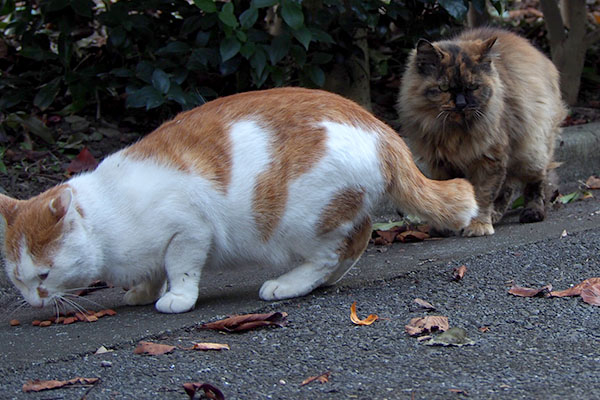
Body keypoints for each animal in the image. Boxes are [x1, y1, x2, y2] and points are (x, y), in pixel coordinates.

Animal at [0, 87, 478, 312]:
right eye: (18, 279)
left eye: (44, 275)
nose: (34, 301)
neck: (107, 218)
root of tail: (382, 130)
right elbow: (152, 271)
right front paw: (142, 291)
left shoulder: (189, 230)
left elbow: (180, 268)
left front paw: (176, 297)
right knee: (352, 246)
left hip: (305, 219)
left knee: (331, 252)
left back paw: (288, 284)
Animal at [398, 28, 568, 236]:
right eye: (444, 88)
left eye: (473, 87)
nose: (461, 104)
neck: (454, 134)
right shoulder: (441, 164)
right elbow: (450, 198)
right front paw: (446, 227)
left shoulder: (488, 160)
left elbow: (482, 197)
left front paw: (478, 226)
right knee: (507, 188)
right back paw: (495, 215)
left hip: (531, 152)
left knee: (535, 184)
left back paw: (532, 212)